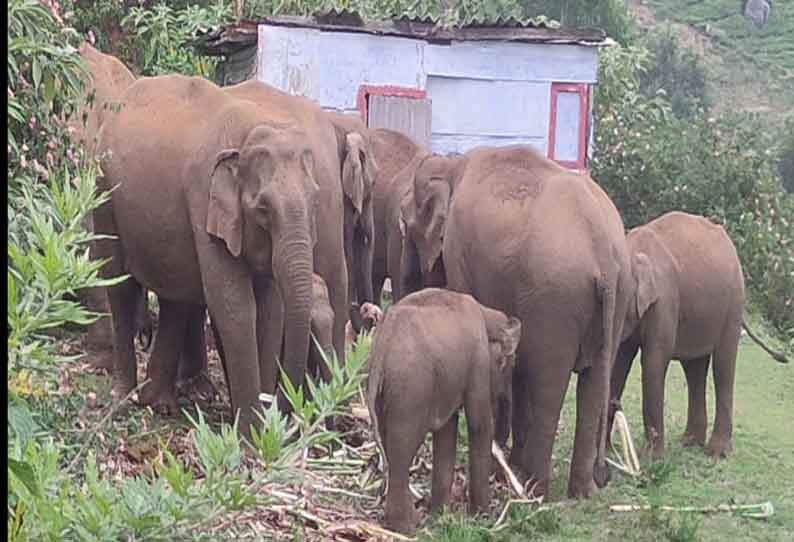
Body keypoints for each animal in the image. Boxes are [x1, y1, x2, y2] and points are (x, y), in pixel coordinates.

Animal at [93, 74, 344, 436]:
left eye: (314, 202)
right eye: (263, 209)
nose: (279, 408)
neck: (250, 131)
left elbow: (270, 308)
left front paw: (260, 430)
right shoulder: (203, 199)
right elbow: (235, 305)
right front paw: (251, 434)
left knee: (175, 297)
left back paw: (160, 403)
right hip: (104, 192)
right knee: (121, 285)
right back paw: (123, 398)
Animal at [366, 288, 520, 536]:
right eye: (508, 365)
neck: (486, 314)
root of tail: (382, 346)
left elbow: (447, 429)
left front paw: (440, 514)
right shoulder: (478, 358)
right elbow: (478, 423)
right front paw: (483, 517)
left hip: (385, 391)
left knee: (391, 446)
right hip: (410, 390)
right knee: (402, 448)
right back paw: (405, 527)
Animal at [402, 146, 632, 502]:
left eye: (408, 225)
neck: (453, 163)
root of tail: (604, 254)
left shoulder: (459, 251)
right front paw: (509, 464)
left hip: (555, 299)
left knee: (549, 385)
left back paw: (535, 489)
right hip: (616, 298)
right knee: (593, 382)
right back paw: (582, 491)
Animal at [608, 210, 784, 462]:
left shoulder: (665, 300)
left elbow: (653, 363)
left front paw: (652, 459)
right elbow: (619, 362)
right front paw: (605, 453)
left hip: (733, 301)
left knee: (723, 366)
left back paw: (717, 452)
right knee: (695, 369)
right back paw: (690, 442)